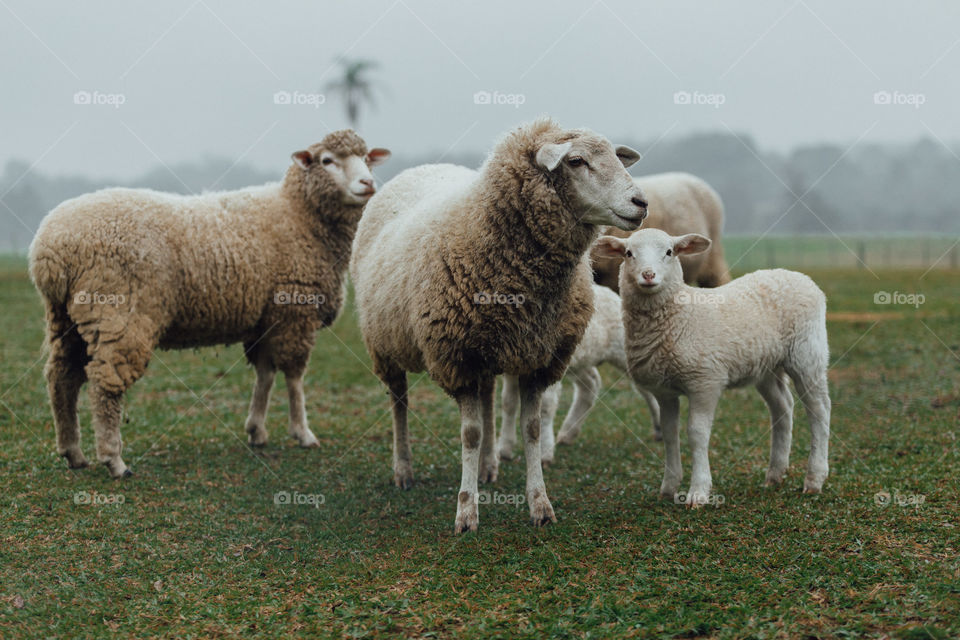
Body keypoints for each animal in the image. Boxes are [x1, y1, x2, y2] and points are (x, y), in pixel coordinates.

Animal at [29, 130, 390, 478]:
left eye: (366, 158)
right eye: (327, 160)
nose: (367, 183)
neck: (298, 214)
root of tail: (50, 250)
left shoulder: (265, 319)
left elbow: (265, 373)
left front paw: (256, 430)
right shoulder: (294, 312)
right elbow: (294, 376)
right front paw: (302, 432)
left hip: (68, 318)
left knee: (62, 377)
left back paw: (73, 453)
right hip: (118, 313)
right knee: (105, 384)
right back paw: (114, 460)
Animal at [497, 283, 662, 463]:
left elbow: (546, 407)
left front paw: (545, 453)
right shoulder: (512, 371)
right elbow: (508, 403)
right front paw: (504, 449)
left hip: (622, 353)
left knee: (646, 387)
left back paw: (659, 427)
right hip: (581, 360)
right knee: (591, 384)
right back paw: (568, 433)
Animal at [595, 228, 830, 506]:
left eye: (669, 252)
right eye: (629, 253)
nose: (648, 275)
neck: (680, 316)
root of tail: (798, 276)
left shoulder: (705, 381)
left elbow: (696, 433)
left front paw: (698, 492)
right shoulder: (663, 390)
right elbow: (670, 434)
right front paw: (669, 487)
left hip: (807, 353)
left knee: (819, 409)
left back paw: (815, 478)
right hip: (765, 365)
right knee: (782, 407)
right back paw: (775, 474)